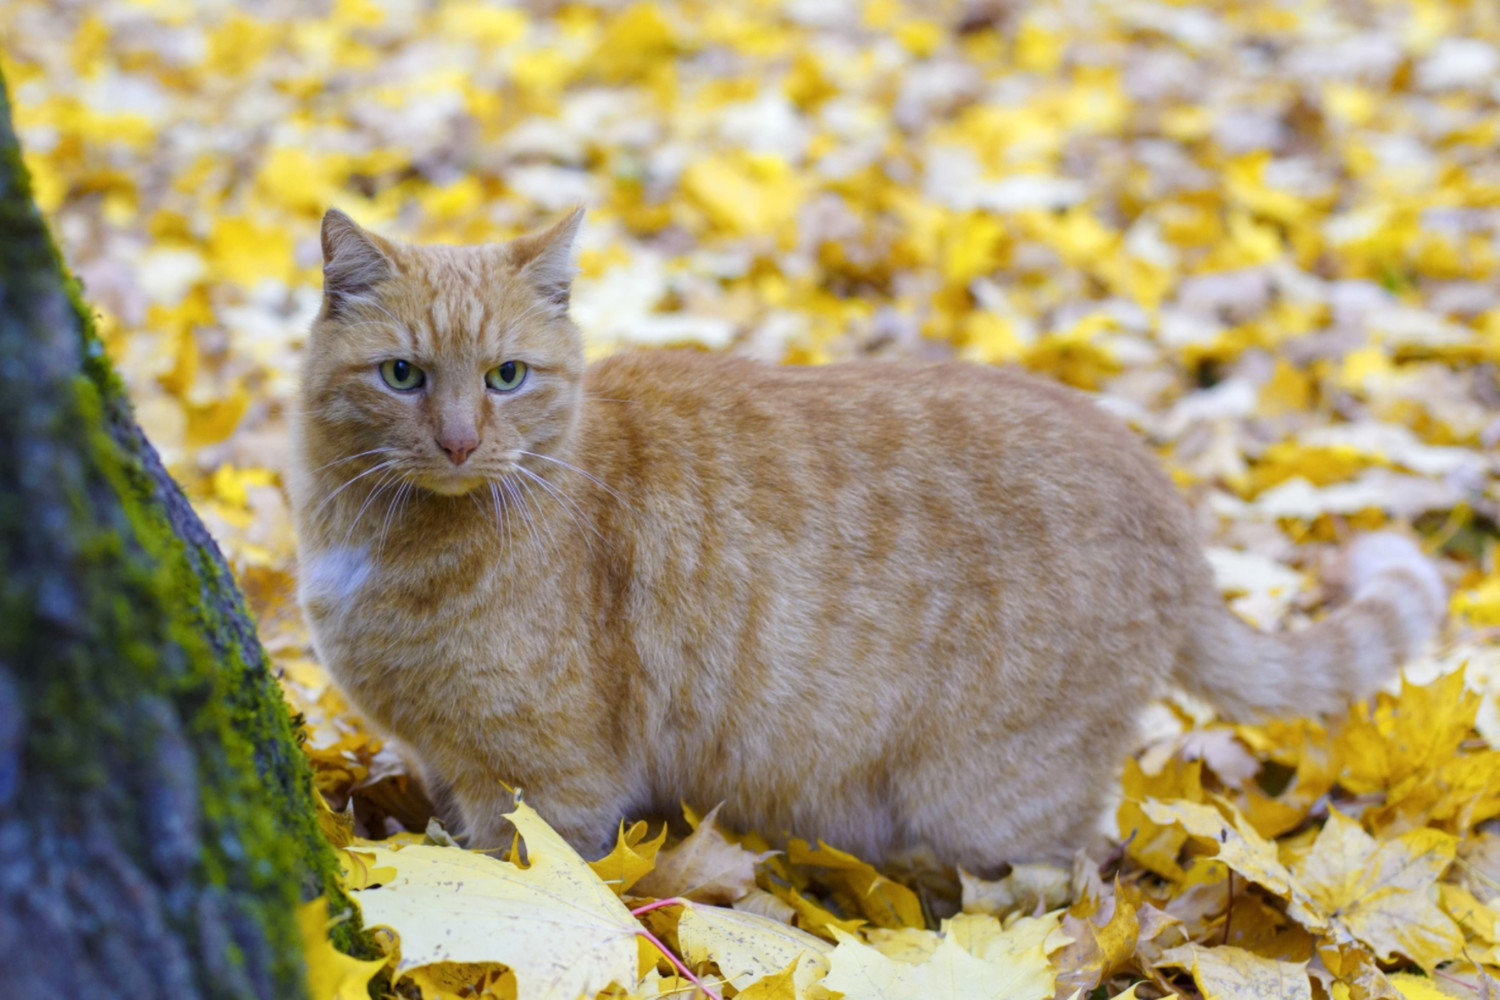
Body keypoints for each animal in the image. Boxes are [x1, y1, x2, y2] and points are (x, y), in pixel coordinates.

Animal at [286, 211, 1446, 869]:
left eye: (507, 376)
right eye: (403, 375)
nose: (459, 439)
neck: (377, 533)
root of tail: (1167, 501)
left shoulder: (545, 781)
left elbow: (526, 878)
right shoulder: (444, 761)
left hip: (991, 799)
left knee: (1078, 879)